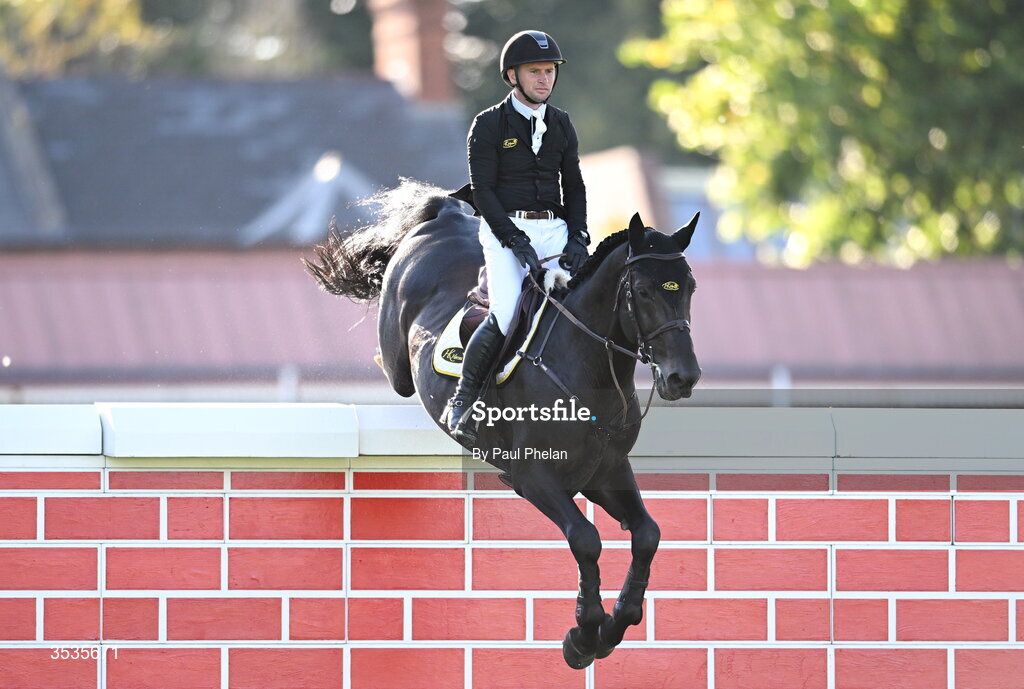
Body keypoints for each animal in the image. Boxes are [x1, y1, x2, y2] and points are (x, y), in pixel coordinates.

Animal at [304, 179, 701, 669]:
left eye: (689, 287)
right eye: (643, 291)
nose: (683, 377)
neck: (586, 363)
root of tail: (444, 214)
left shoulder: (606, 473)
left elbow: (647, 535)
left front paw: (615, 624)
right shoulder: (534, 478)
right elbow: (586, 539)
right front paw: (583, 637)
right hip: (399, 360)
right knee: (395, 366)